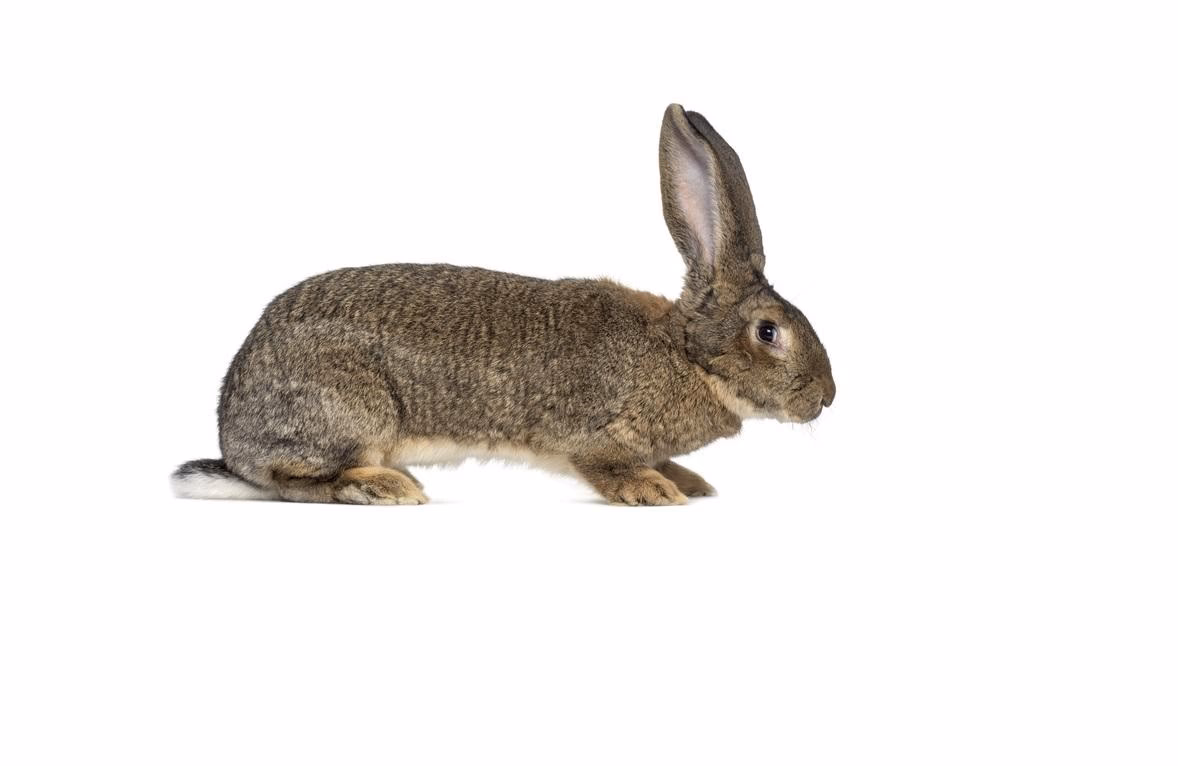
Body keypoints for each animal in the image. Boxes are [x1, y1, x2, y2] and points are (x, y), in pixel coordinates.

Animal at [171, 104, 835, 506]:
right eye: (769, 332)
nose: (826, 397)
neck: (687, 355)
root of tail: (235, 441)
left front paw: (689, 484)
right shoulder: (594, 438)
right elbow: (608, 468)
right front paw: (654, 492)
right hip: (348, 411)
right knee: (291, 480)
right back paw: (384, 487)